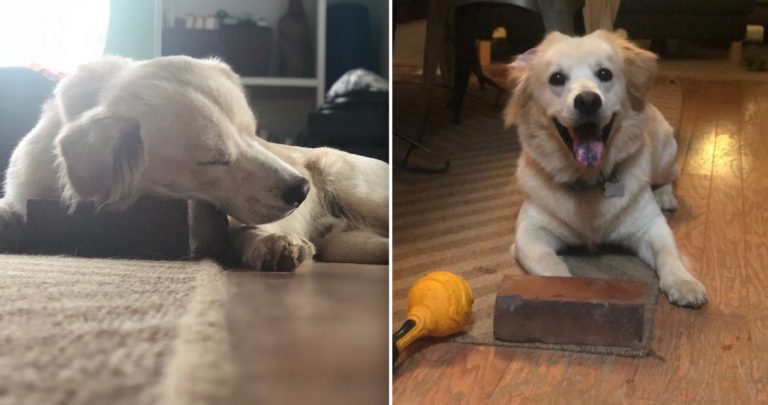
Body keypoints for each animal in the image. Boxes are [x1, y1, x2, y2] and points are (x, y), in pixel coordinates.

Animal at [0, 55, 390, 270]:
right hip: (346, 240)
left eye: (253, 133)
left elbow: (245, 228)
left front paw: (272, 243)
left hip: (353, 186)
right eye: (214, 160)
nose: (303, 189)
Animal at [508, 30, 712, 306]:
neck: (589, 180)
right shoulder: (529, 234)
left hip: (664, 154)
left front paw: (683, 282)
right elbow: (550, 264)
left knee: (671, 175)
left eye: (605, 74)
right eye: (557, 78)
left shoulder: (651, 226)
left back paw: (665, 196)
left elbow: (669, 254)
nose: (587, 101)